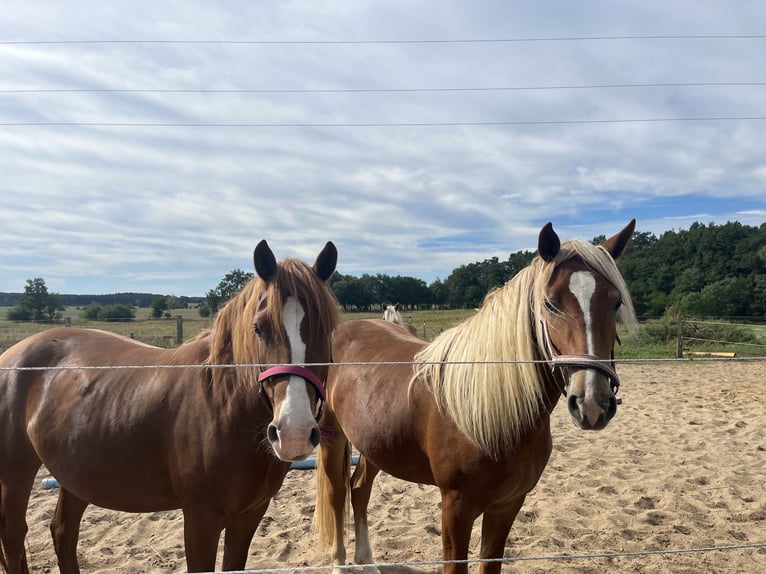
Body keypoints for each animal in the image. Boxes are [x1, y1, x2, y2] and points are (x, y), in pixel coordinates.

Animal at [0, 240, 340, 574]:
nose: (293, 433)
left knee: (63, 533)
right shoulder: (200, 519)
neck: (222, 404)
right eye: (259, 328)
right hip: (15, 474)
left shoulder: (250, 515)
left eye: (326, 329)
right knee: (14, 537)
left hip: (75, 477)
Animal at [314, 221, 638, 574]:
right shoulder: (456, 507)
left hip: (373, 445)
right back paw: (339, 564)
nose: (592, 403)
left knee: (359, 490)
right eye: (550, 304)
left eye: (616, 303)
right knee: (336, 496)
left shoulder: (508, 504)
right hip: (333, 440)